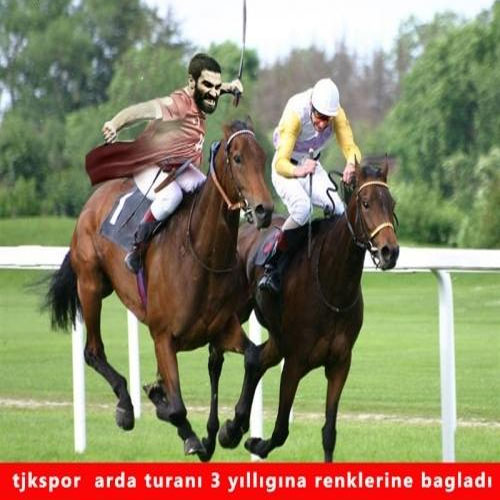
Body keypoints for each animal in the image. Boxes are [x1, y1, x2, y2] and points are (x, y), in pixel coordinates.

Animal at [45, 119, 274, 461]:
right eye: (238, 158)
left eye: (263, 157)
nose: (264, 210)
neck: (200, 256)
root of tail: (93, 201)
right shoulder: (163, 337)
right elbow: (176, 406)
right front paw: (181, 425)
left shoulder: (222, 330)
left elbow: (253, 358)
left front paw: (231, 429)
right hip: (91, 285)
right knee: (92, 351)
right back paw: (126, 407)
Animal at [218, 158, 399, 461]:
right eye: (365, 203)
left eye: (392, 203)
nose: (390, 251)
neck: (332, 285)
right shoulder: (294, 362)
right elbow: (281, 429)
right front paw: (256, 443)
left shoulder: (340, 363)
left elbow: (329, 433)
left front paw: (245, 434)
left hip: (278, 338)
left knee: (255, 359)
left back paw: (233, 427)